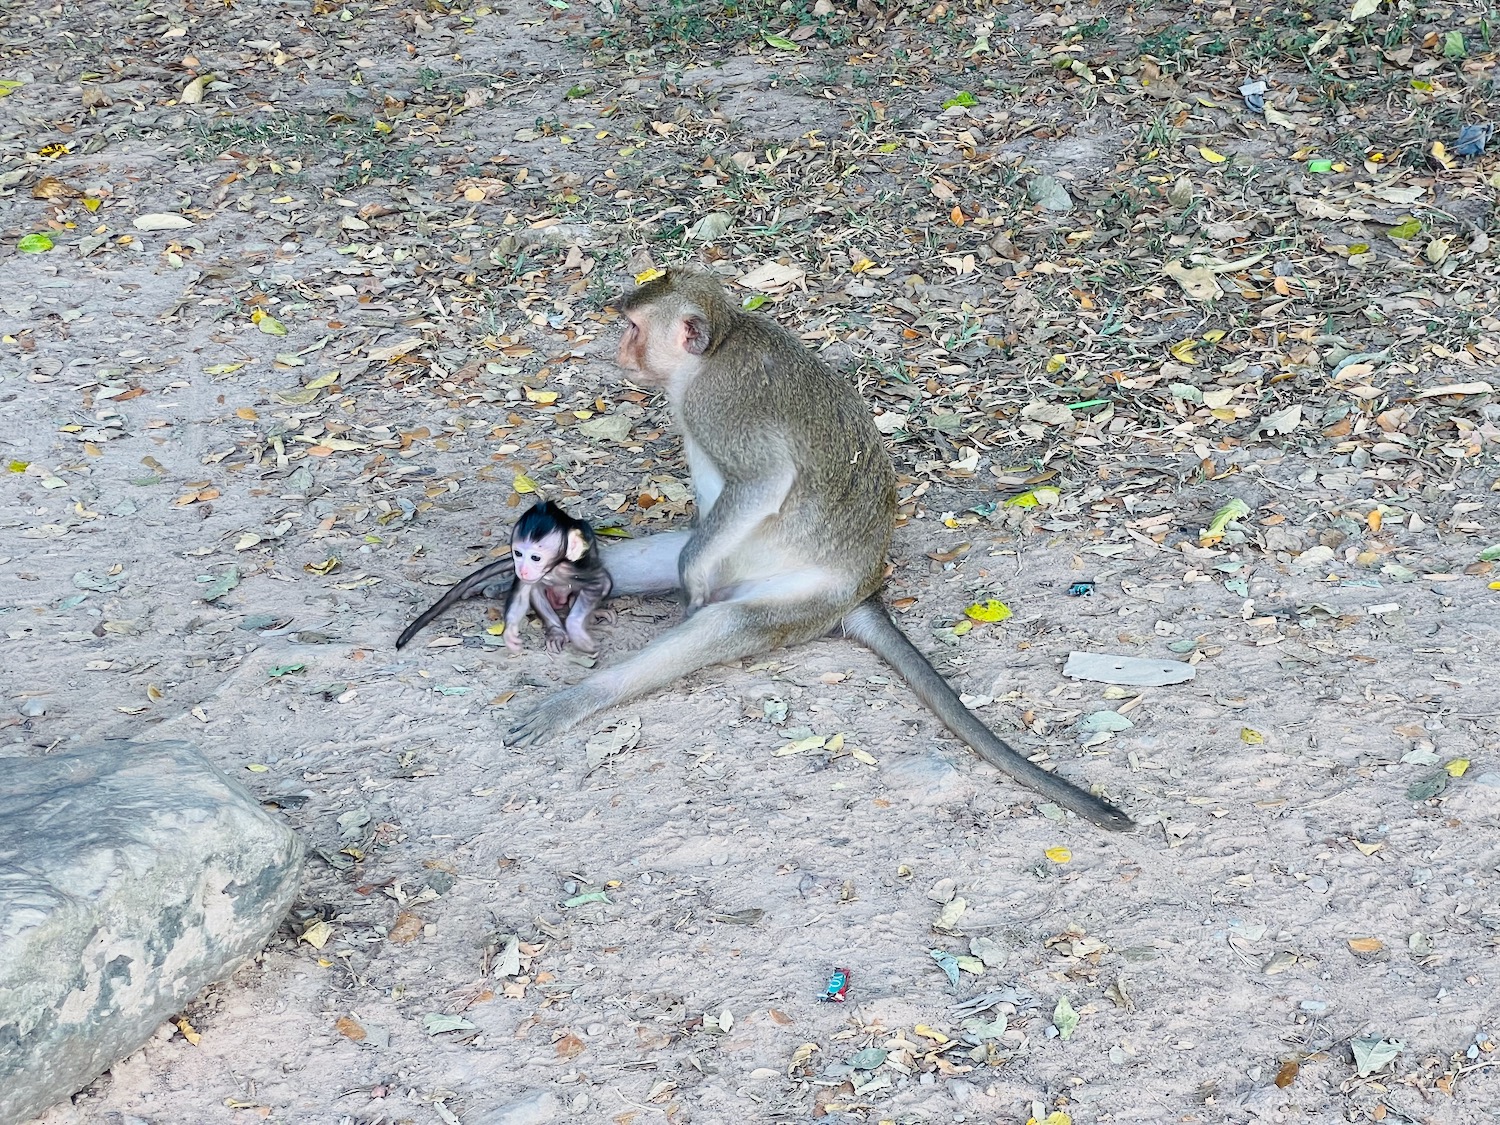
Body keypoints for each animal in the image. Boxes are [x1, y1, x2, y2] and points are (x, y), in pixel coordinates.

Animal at [396, 501, 618, 651]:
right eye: (518, 554)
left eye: (535, 557)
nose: (522, 569)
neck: (554, 568)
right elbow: (522, 594)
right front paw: (511, 632)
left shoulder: (577, 568)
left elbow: (597, 584)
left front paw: (578, 632)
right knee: (536, 590)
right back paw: (555, 629)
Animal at [510, 262, 1128, 828]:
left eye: (634, 327)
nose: (620, 349)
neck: (717, 348)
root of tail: (866, 586)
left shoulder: (722, 404)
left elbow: (764, 480)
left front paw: (691, 582)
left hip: (802, 598)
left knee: (724, 616)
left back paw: (584, 695)